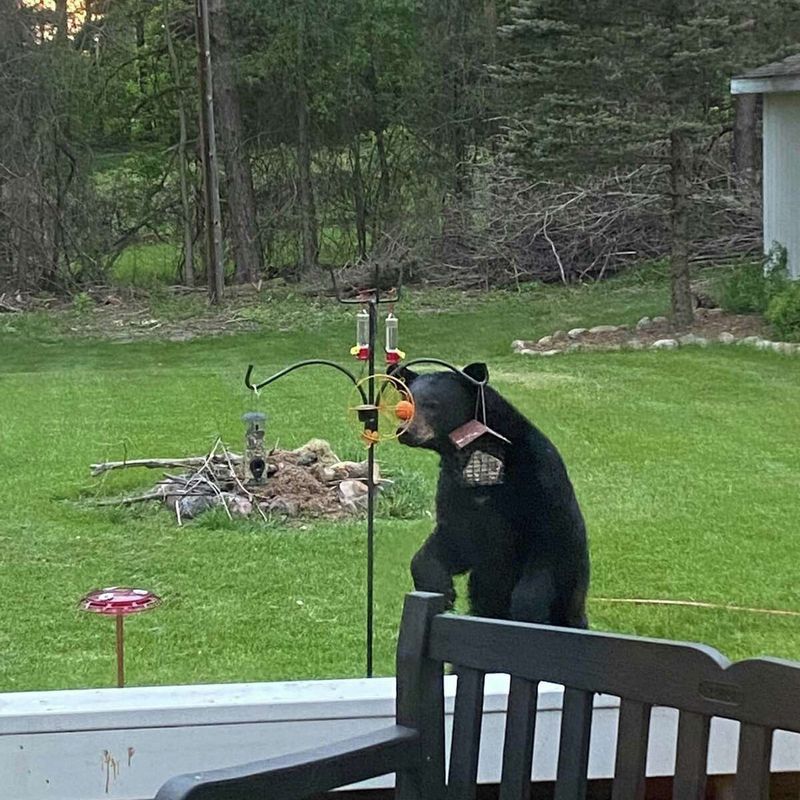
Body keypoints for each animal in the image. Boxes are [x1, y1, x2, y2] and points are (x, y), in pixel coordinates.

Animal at [394, 362, 589, 628]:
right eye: (406, 400)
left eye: (432, 405)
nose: (405, 431)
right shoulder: (457, 492)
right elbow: (450, 541)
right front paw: (443, 590)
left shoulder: (540, 487)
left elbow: (545, 560)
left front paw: (527, 611)